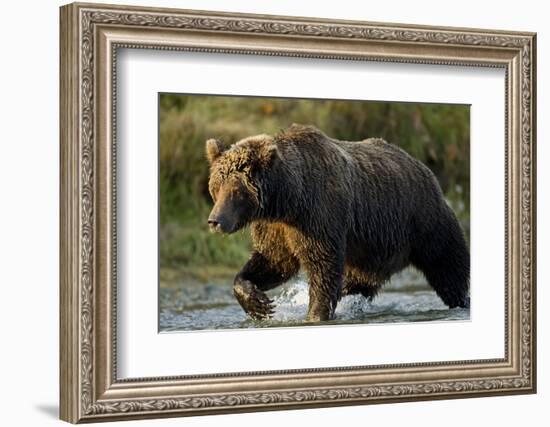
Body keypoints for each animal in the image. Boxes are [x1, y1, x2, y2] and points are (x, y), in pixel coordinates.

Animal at [206, 123, 470, 320]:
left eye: (236, 191)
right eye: (216, 187)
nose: (214, 221)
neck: (288, 200)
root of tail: (425, 168)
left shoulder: (319, 216)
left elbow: (322, 266)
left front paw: (315, 314)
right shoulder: (276, 227)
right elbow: (273, 261)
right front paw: (258, 303)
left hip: (425, 222)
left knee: (449, 270)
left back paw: (462, 301)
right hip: (372, 253)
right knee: (358, 282)